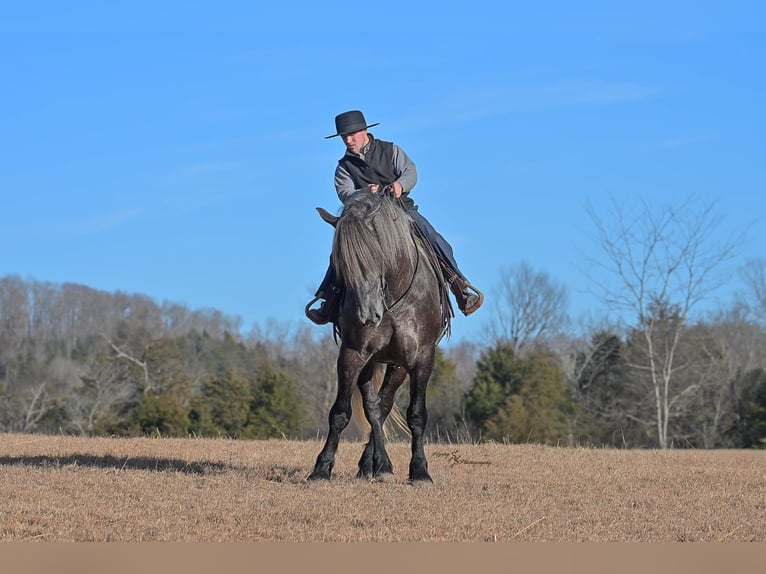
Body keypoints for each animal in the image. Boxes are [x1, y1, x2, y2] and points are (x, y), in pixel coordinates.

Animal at [307, 190, 449, 483]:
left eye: (376, 253)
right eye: (340, 263)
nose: (368, 315)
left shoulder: (422, 357)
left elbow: (416, 414)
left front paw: (420, 471)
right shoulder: (353, 354)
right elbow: (342, 412)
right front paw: (322, 468)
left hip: (397, 365)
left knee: (384, 404)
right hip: (372, 361)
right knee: (375, 406)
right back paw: (375, 465)